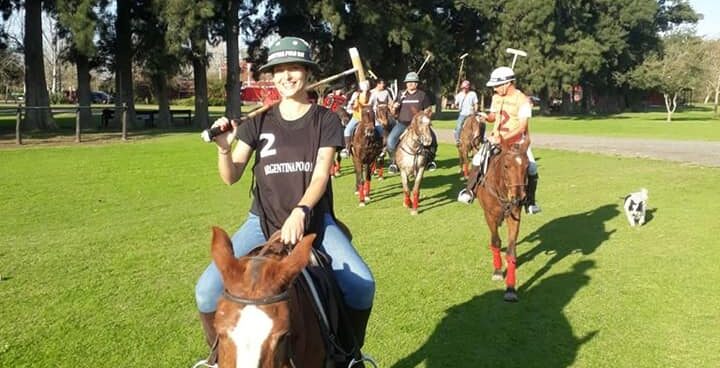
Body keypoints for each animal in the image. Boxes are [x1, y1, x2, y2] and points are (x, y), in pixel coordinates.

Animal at [476, 138, 532, 302]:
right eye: (506, 166)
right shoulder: (490, 216)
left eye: (527, 166)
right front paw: (497, 271)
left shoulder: (514, 216)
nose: (519, 197)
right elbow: (495, 241)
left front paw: (510, 289)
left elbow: (511, 251)